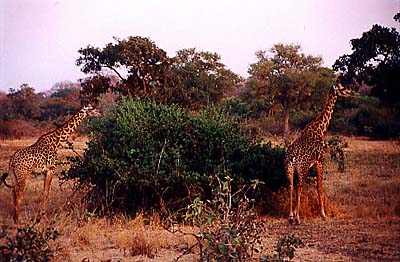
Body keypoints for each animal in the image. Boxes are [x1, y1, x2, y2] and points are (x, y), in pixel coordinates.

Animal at [284, 83, 354, 223]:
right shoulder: (320, 161)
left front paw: (295, 213)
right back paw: (298, 218)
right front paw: (323, 214)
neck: (320, 129)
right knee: (299, 187)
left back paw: (291, 216)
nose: (352, 93)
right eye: (343, 88)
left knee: (291, 186)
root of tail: (292, 157)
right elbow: (319, 187)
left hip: (289, 169)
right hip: (303, 168)